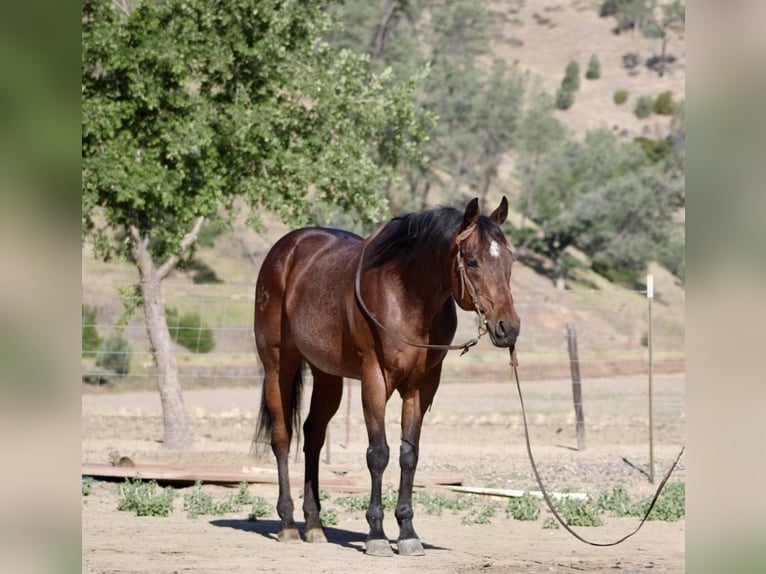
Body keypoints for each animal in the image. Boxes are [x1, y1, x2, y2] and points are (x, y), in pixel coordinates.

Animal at [252, 197, 520, 556]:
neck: (407, 296)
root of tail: (286, 249)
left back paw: (315, 525)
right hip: (278, 367)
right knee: (282, 438)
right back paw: (288, 524)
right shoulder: (375, 379)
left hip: (328, 377)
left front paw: (407, 533)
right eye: (473, 261)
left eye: (509, 260)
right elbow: (378, 454)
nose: (509, 328)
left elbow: (409, 455)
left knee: (313, 437)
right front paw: (376, 534)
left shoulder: (421, 387)